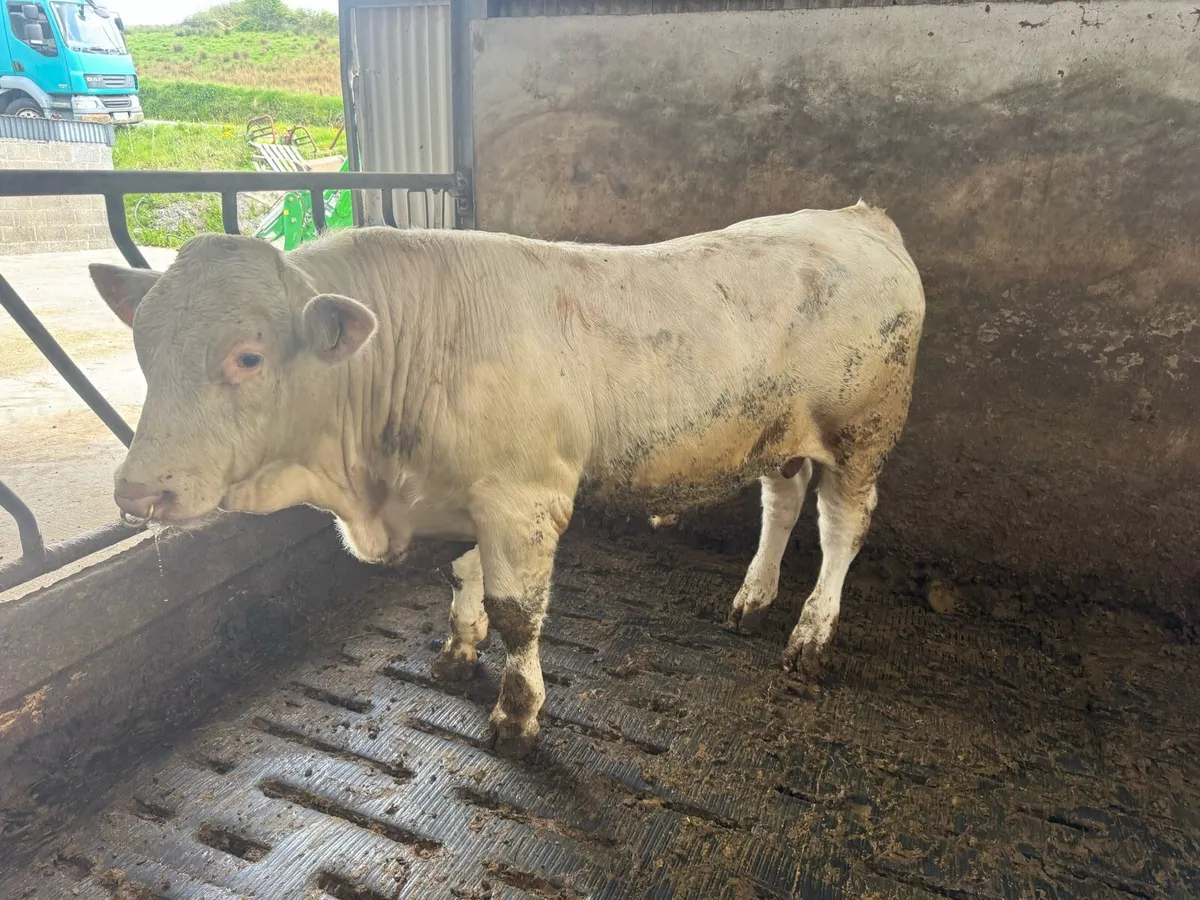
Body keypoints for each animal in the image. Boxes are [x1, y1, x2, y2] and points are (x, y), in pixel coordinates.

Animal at [89, 202, 924, 758]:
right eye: (141, 348)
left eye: (248, 356)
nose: (138, 492)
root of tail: (856, 215)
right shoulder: (460, 492)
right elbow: (462, 577)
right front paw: (459, 650)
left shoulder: (524, 500)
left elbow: (518, 614)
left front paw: (516, 714)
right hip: (779, 435)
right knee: (781, 501)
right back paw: (752, 596)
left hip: (862, 433)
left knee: (841, 528)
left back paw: (810, 632)